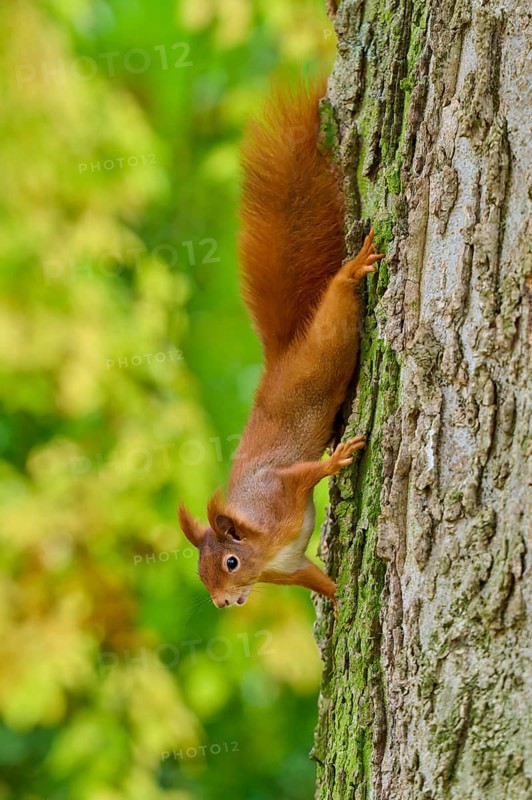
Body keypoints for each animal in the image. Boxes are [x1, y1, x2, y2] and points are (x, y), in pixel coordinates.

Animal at [178, 82, 384, 612]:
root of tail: (281, 357)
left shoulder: (279, 491)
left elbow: (304, 474)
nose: (224, 603)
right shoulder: (290, 568)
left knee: (337, 304)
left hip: (325, 350)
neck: (263, 547)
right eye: (201, 575)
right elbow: (317, 579)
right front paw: (340, 603)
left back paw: (351, 272)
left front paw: (335, 460)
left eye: (230, 562)